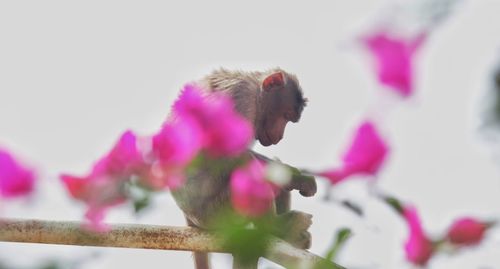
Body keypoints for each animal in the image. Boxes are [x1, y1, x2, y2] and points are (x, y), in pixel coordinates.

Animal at [170, 67, 318, 268]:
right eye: (286, 115)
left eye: (290, 119)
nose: (280, 137)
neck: (256, 91)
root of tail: (191, 220)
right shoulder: (242, 98)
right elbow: (229, 152)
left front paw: (295, 177)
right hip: (216, 212)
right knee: (243, 162)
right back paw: (275, 226)